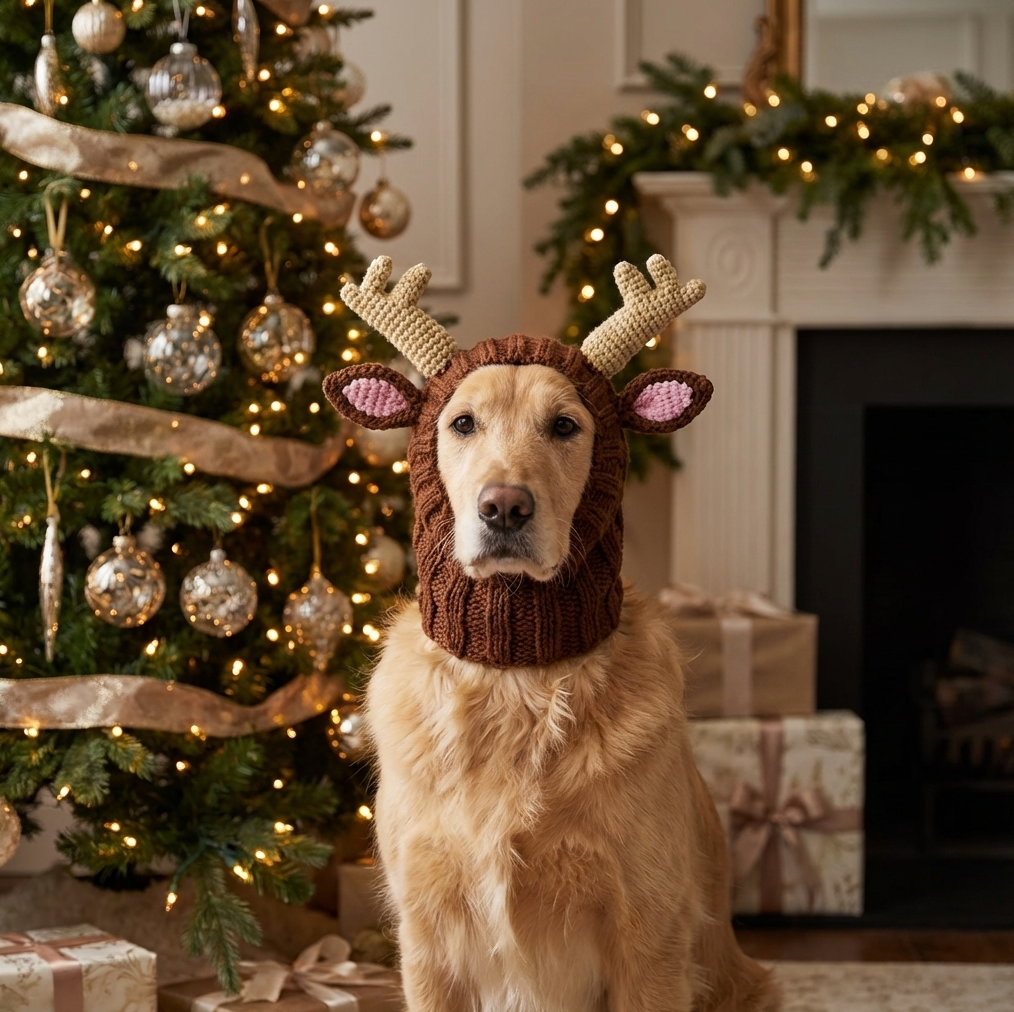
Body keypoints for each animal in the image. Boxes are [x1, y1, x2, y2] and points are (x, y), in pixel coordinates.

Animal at [323, 254, 779, 1012]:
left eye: (565, 426)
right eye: (462, 422)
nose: (504, 507)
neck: (517, 676)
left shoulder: (648, 936)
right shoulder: (427, 936)